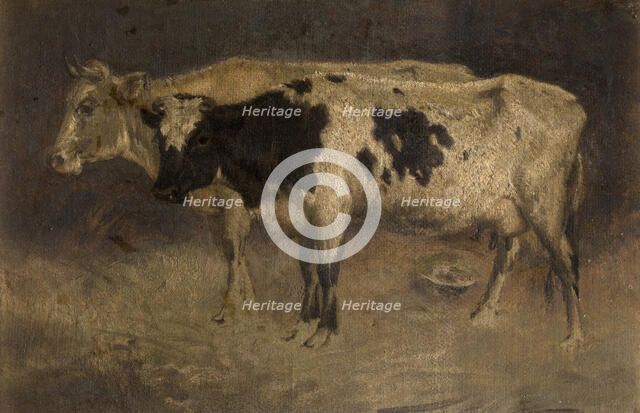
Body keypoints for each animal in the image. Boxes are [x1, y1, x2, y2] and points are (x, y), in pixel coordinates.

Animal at [49, 57, 476, 322]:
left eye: (86, 106)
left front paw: (232, 309)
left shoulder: (236, 204)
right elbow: (233, 253)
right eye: (68, 102)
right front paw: (247, 300)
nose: (55, 159)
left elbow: (235, 251)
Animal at [148, 71, 587, 350]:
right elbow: (308, 271)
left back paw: (574, 337)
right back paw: (484, 313)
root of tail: (569, 102)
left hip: (545, 205)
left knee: (566, 263)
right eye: (159, 138)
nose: (163, 191)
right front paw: (303, 324)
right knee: (507, 257)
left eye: (202, 137)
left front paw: (324, 333)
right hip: (511, 211)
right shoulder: (299, 214)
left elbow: (328, 273)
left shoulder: (328, 209)